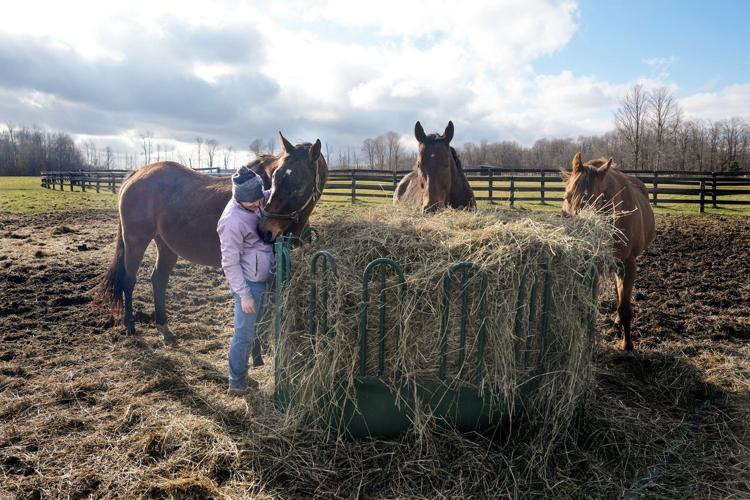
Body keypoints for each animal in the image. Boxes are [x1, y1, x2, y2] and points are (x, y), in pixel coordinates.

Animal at [94, 132, 327, 346]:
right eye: (277, 177)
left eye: (299, 185)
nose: (265, 230)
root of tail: (136, 174)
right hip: (136, 241)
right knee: (129, 280)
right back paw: (130, 327)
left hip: (166, 246)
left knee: (158, 279)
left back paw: (164, 327)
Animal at [561, 152, 655, 351]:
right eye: (567, 197)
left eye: (599, 201)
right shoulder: (593, 267)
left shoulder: (628, 264)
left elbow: (625, 307)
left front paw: (627, 345)